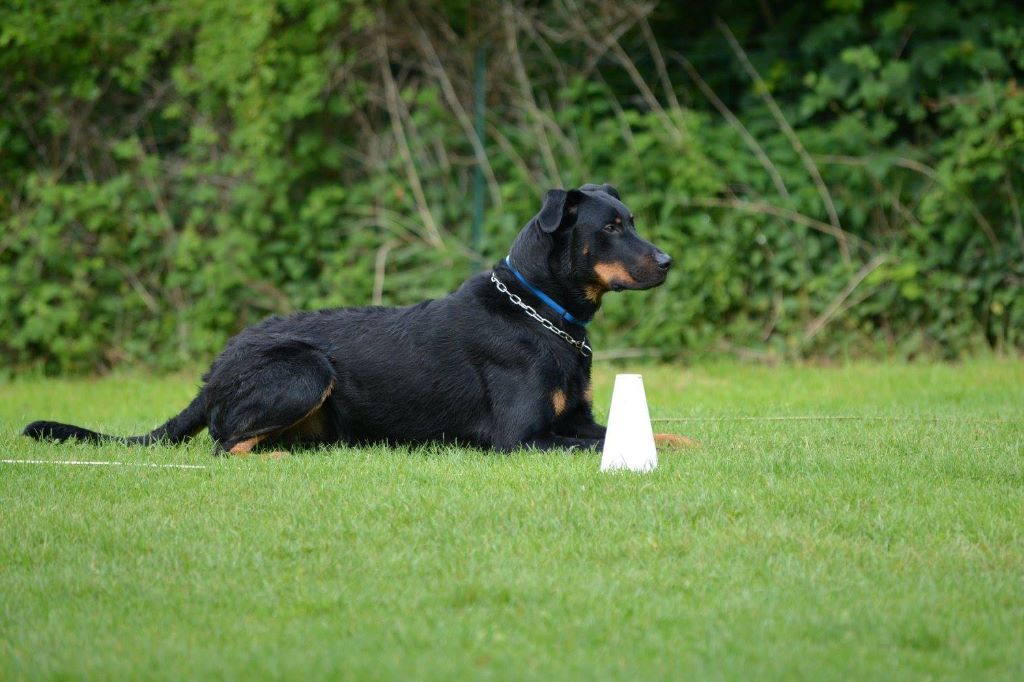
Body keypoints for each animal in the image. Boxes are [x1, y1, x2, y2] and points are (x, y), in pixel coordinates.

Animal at [24, 183, 688, 454]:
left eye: (631, 219)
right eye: (611, 227)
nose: (668, 261)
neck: (542, 312)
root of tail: (213, 371)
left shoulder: (578, 420)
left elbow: (654, 431)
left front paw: (684, 442)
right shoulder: (524, 440)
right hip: (305, 369)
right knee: (223, 443)